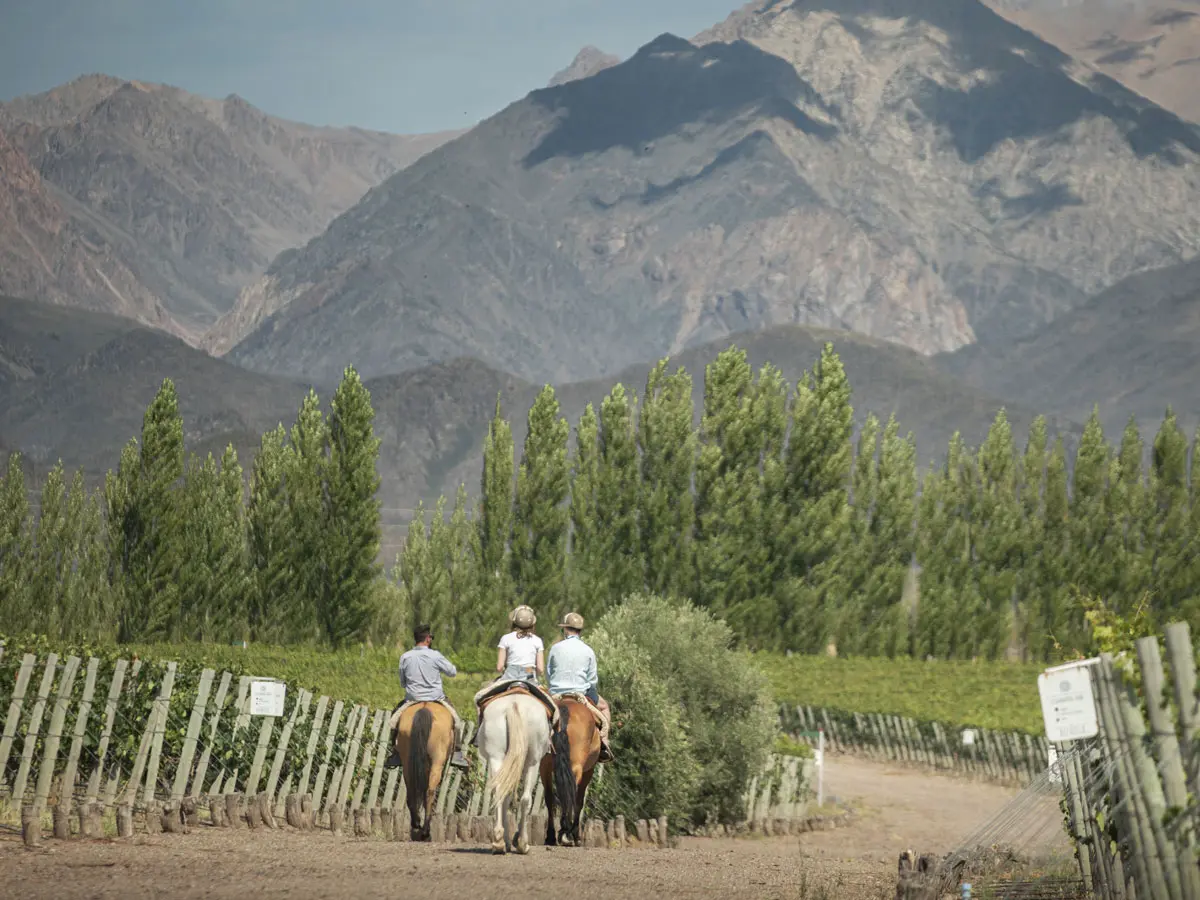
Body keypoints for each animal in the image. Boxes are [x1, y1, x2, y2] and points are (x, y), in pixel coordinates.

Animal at [396, 700, 451, 844]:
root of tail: (425, 707)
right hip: (437, 761)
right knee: (430, 791)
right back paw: (426, 831)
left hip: (407, 761)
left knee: (412, 790)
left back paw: (416, 824)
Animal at [477, 696, 552, 854]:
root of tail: (514, 704)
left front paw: (505, 840)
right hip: (532, 762)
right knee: (525, 799)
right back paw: (523, 843)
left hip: (496, 756)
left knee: (499, 792)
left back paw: (498, 841)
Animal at [542, 700, 604, 849]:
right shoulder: (588, 771)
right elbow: (579, 801)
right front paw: (576, 835)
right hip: (576, 766)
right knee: (571, 793)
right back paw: (567, 832)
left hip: (545, 765)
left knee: (550, 797)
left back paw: (551, 836)